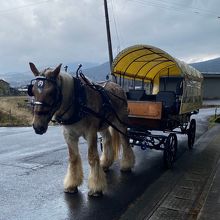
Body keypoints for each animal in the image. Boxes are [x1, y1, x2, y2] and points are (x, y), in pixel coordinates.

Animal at [28, 62, 135, 197]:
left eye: (52, 92)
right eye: (32, 91)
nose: (38, 126)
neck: (77, 102)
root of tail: (117, 86)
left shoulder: (91, 133)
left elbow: (92, 157)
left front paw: (96, 187)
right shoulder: (69, 135)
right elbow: (73, 158)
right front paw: (72, 184)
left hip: (120, 121)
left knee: (125, 141)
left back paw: (127, 164)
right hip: (103, 124)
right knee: (107, 140)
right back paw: (105, 163)